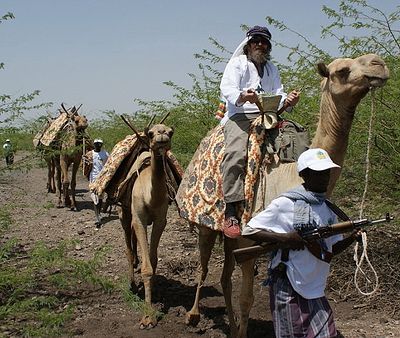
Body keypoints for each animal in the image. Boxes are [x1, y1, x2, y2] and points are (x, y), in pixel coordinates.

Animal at [117, 123, 177, 328]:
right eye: (151, 133)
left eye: (170, 132)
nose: (161, 136)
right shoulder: (139, 219)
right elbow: (146, 268)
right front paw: (147, 317)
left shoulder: (161, 220)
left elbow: (153, 260)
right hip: (125, 213)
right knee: (127, 243)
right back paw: (131, 283)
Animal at [177, 53, 390, 338]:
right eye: (342, 70)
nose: (379, 64)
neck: (289, 177)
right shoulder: (248, 240)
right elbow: (247, 299)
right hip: (208, 225)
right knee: (203, 267)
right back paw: (193, 316)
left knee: (224, 278)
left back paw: (229, 326)